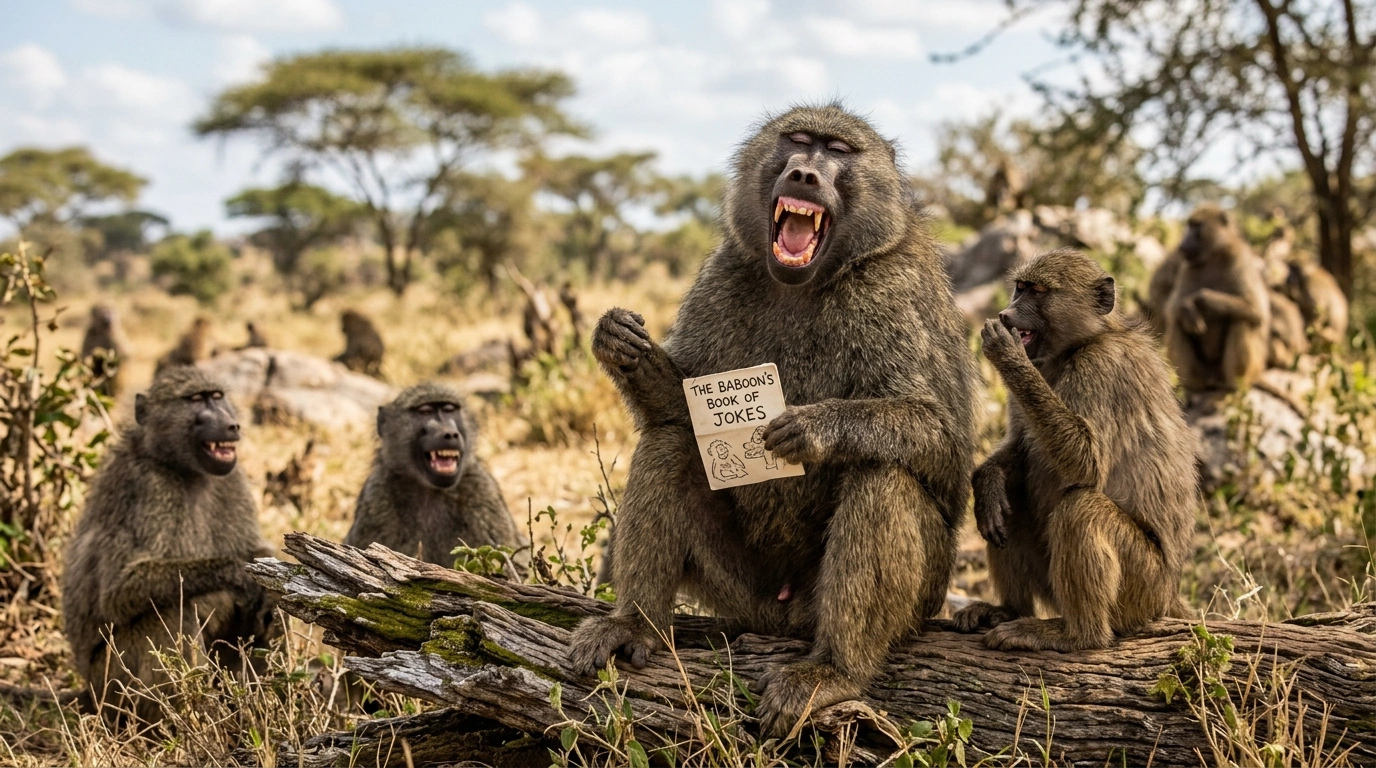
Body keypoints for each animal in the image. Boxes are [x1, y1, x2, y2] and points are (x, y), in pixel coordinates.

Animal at [61, 367, 277, 723]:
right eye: (195, 400)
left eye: (217, 396)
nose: (232, 425)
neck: (181, 467)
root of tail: (88, 691)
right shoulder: (150, 488)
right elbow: (120, 591)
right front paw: (241, 574)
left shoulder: (232, 480)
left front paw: (264, 574)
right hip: (112, 683)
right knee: (172, 610)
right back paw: (192, 720)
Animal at [344, 382, 521, 569]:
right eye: (425, 411)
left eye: (449, 409)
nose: (450, 434)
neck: (430, 491)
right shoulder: (376, 497)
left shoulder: (482, 492)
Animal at [566, 104, 977, 737]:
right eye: (798, 140)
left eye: (837, 150)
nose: (805, 173)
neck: (809, 282)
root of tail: (782, 615)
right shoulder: (723, 274)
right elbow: (678, 413)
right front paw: (623, 345)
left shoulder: (893, 292)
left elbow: (943, 438)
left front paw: (812, 429)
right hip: (740, 591)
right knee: (669, 444)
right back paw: (633, 624)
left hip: (906, 594)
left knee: (883, 475)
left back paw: (834, 670)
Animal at [952, 249, 1196, 651]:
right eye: (1020, 287)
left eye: (1037, 291)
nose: (1006, 315)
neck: (1079, 345)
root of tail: (1168, 595)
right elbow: (1019, 448)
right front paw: (985, 482)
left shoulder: (1101, 368)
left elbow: (1086, 464)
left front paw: (1006, 355)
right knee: (1013, 492)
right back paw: (1008, 609)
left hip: (1143, 588)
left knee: (1080, 510)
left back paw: (1074, 634)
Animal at [1163, 204, 1270, 399]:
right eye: (1189, 225)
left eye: (1197, 226)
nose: (1182, 245)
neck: (1214, 255)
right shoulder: (1188, 266)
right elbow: (1173, 308)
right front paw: (1187, 308)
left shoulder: (1239, 257)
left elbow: (1256, 308)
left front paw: (1201, 300)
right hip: (1204, 371)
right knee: (1177, 323)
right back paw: (1193, 387)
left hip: (1250, 367)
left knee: (1241, 320)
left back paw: (1233, 388)